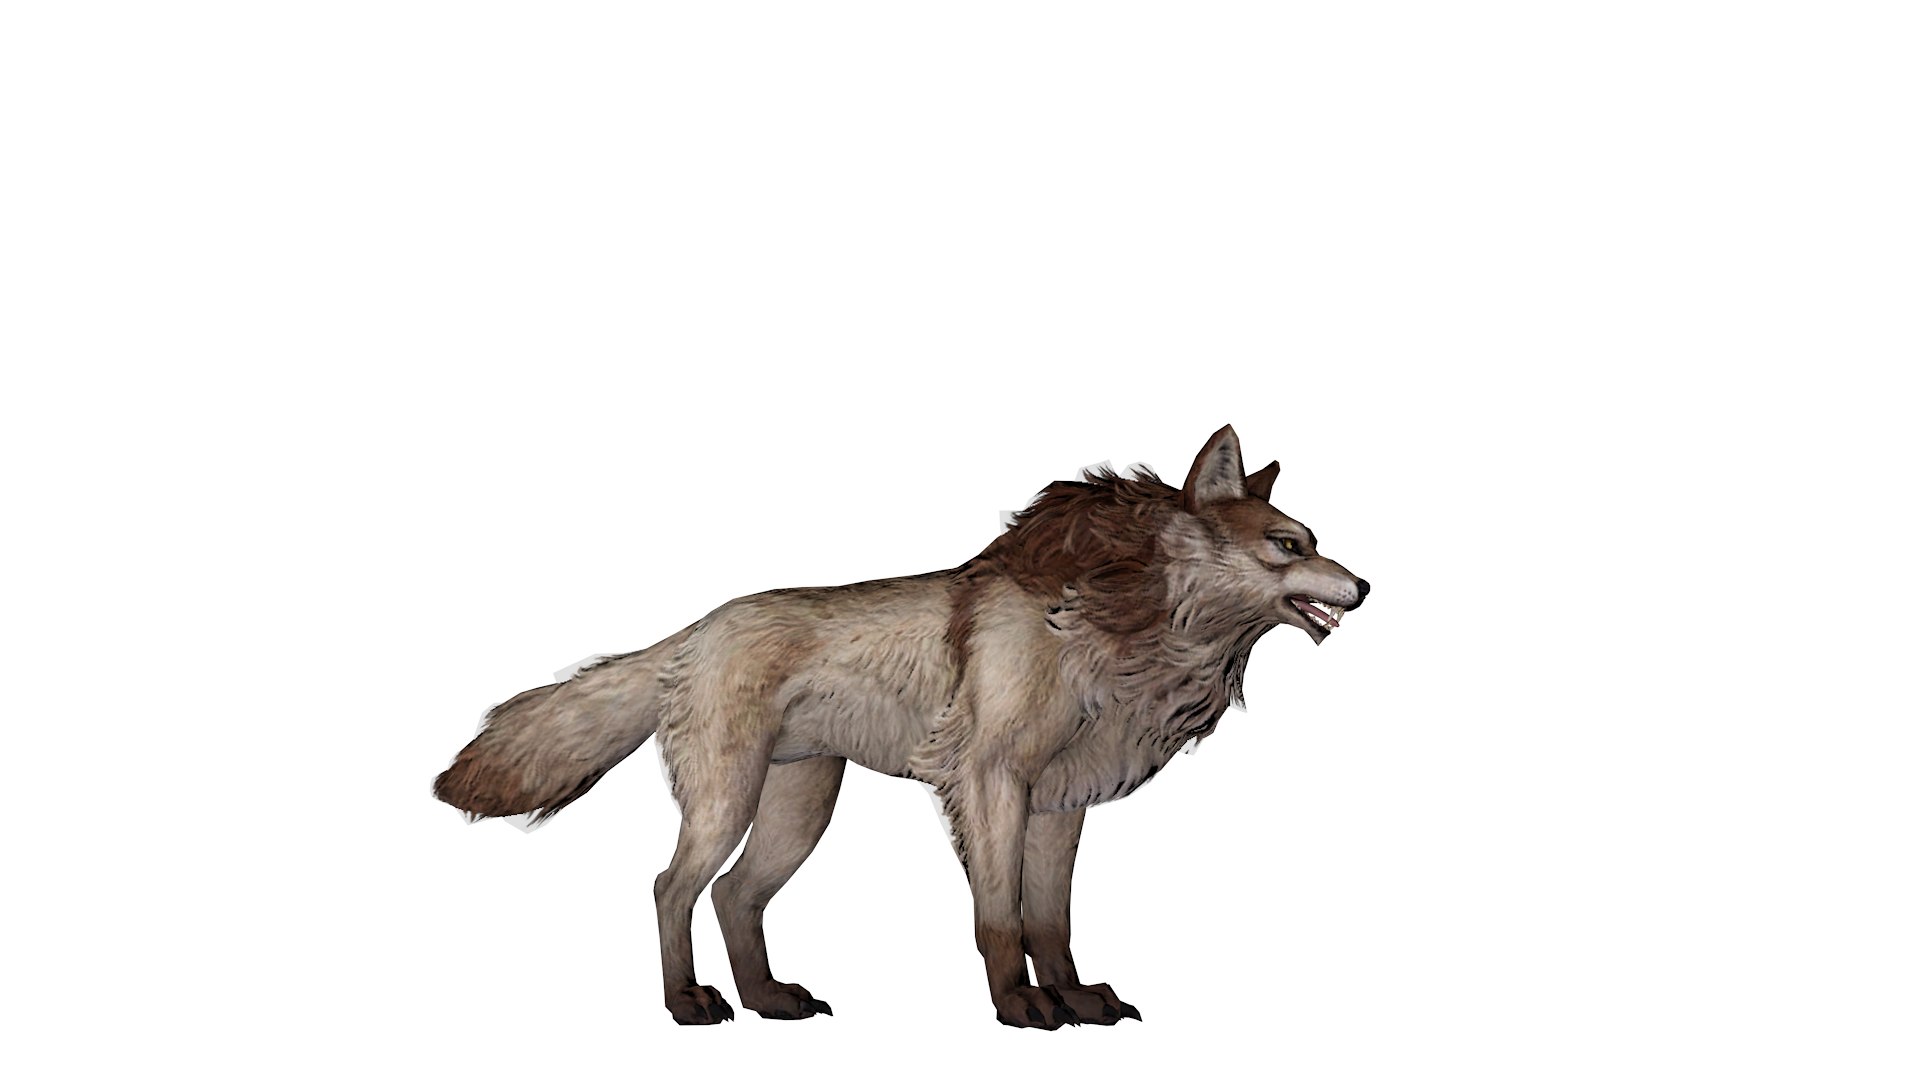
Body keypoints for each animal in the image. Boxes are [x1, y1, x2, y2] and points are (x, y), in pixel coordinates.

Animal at [434, 425, 1368, 1028]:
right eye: (1288, 545)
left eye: (1314, 539)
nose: (1364, 586)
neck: (1111, 624)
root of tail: (694, 631)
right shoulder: (992, 784)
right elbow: (1000, 921)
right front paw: (1021, 1007)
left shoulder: (1059, 805)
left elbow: (1052, 923)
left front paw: (1074, 999)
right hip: (727, 804)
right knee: (671, 886)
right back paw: (687, 1005)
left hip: (800, 811)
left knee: (735, 896)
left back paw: (769, 1001)